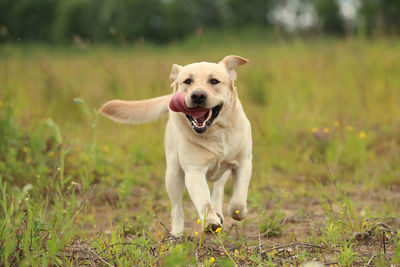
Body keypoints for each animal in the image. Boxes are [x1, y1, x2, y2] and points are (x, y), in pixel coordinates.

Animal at [98, 55, 252, 236]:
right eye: (187, 81)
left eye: (214, 81)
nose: (198, 95)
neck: (215, 133)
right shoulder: (194, 171)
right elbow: (204, 201)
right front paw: (210, 222)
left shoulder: (244, 162)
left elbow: (238, 200)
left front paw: (238, 212)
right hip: (173, 174)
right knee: (177, 209)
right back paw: (177, 235)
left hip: (221, 172)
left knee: (218, 189)